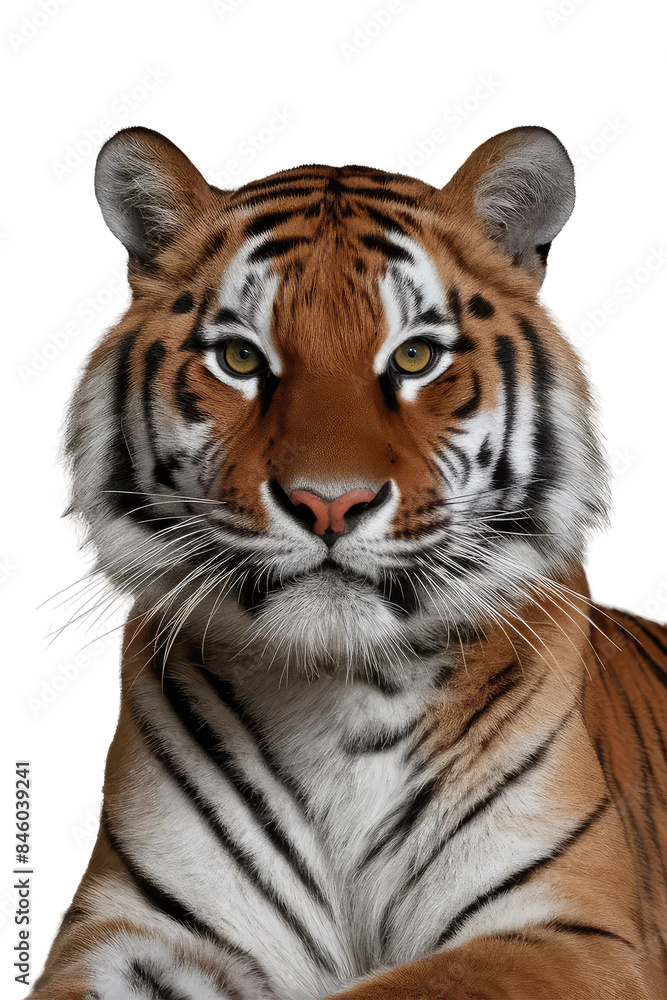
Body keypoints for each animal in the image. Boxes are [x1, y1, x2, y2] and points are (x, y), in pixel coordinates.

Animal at [29, 124, 667, 1000]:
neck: (336, 694)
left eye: (414, 358)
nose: (329, 503)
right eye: (239, 359)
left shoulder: (578, 933)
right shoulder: (125, 924)